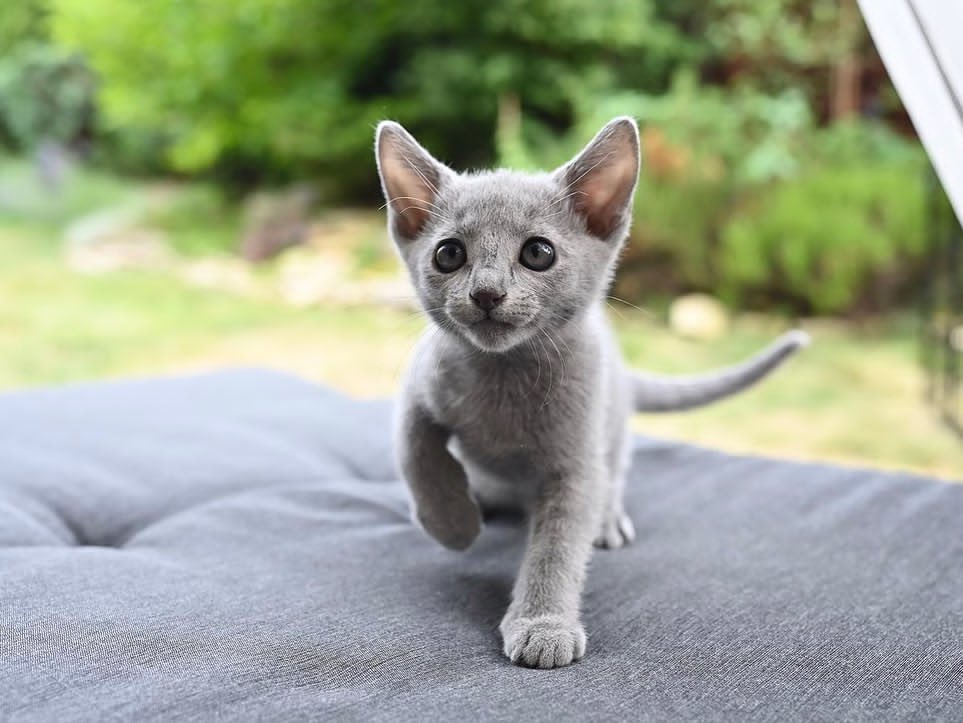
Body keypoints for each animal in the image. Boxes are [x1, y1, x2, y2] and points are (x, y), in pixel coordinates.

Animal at [374, 116, 804, 672]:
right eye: (449, 254)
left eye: (538, 253)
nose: (486, 293)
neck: (503, 376)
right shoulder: (417, 389)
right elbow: (418, 456)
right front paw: (452, 524)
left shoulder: (576, 462)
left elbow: (557, 547)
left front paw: (543, 624)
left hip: (612, 424)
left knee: (613, 474)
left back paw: (607, 519)